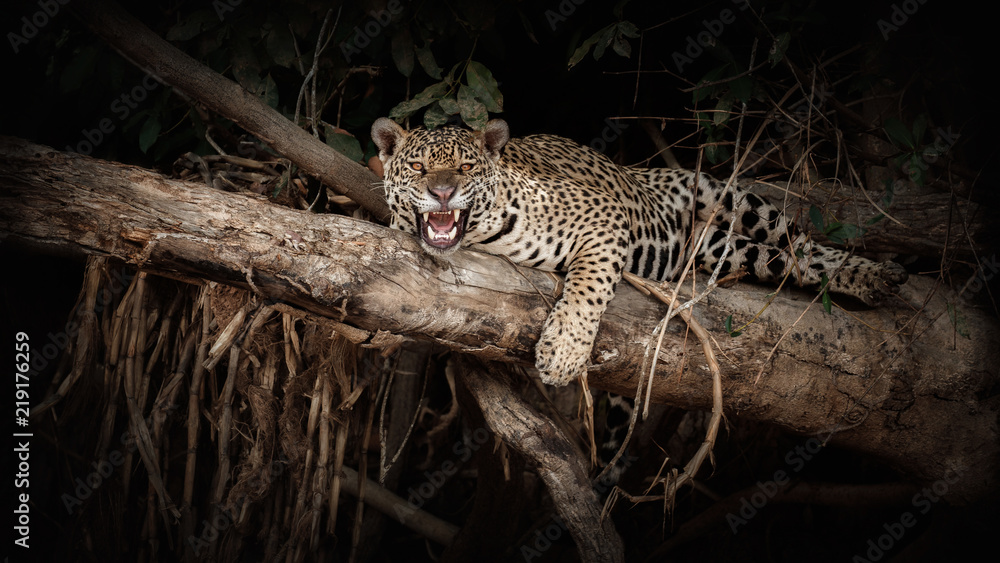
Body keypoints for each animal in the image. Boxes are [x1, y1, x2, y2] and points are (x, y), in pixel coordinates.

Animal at [370, 117, 908, 388]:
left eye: (464, 168)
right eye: (417, 167)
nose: (441, 193)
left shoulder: (602, 215)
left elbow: (588, 286)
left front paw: (563, 354)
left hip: (727, 194)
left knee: (802, 243)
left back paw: (875, 275)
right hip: (720, 248)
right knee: (784, 261)